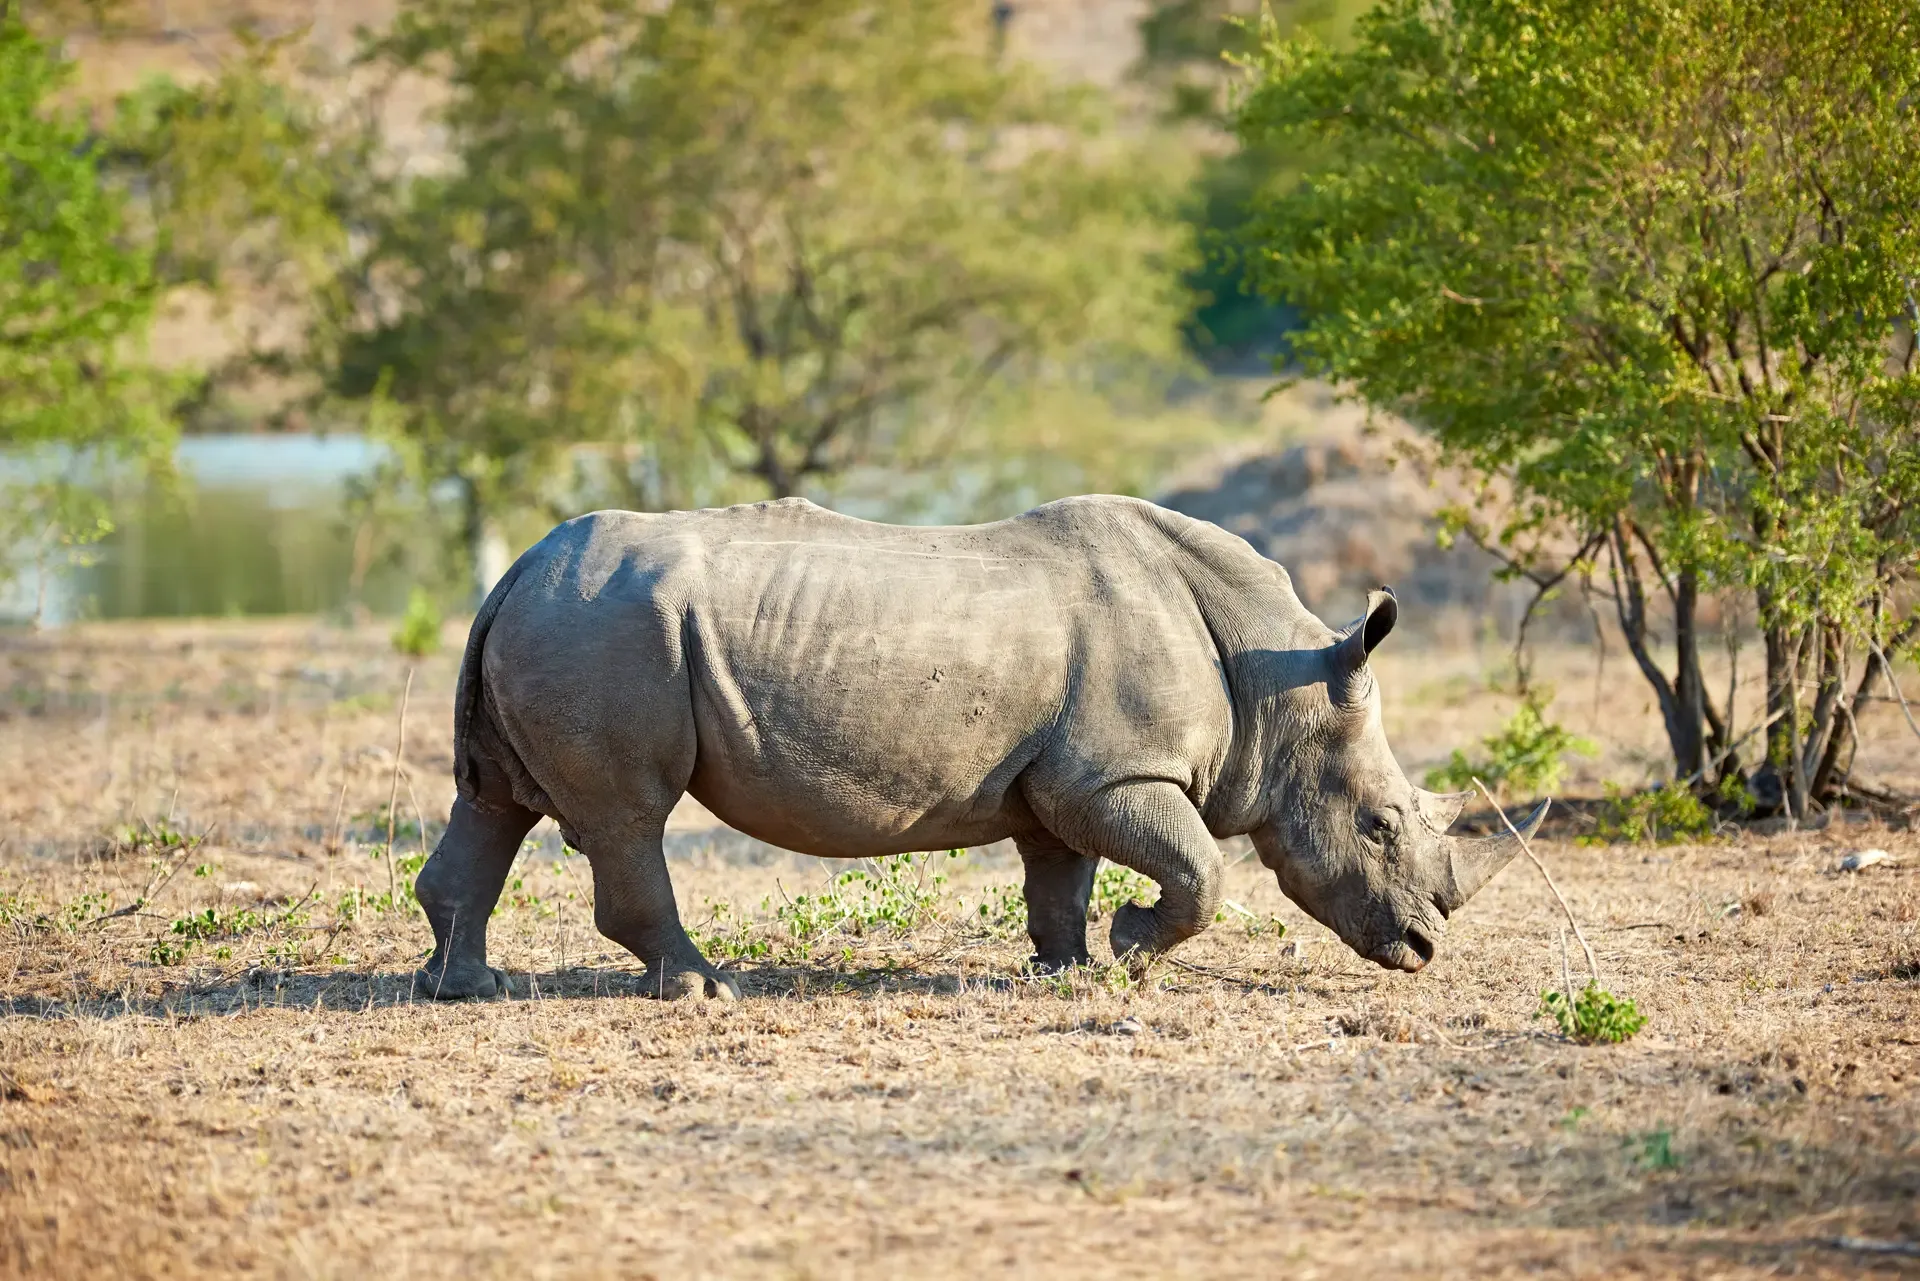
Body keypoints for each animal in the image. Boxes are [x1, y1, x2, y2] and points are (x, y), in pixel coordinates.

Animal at [414, 495, 1542, 1000]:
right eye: (1380, 824)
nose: (1423, 949)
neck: (1277, 681)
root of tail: (514, 570)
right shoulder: (1116, 772)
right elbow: (1198, 871)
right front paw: (1131, 951)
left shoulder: (1065, 778)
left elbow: (1060, 877)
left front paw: (1066, 968)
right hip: (606, 630)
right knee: (628, 817)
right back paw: (701, 987)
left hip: (566, 619)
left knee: (496, 802)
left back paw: (466, 988)